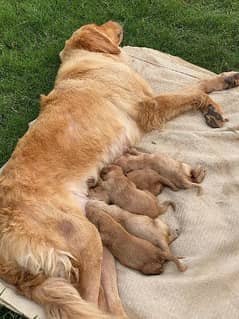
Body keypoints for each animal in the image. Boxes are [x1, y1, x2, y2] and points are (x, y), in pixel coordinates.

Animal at [0, 19, 238, 318]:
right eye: (98, 24)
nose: (117, 20)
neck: (86, 62)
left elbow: (198, 83)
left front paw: (227, 79)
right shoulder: (149, 105)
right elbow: (193, 92)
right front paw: (212, 107)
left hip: (103, 246)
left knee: (108, 304)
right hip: (88, 238)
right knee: (92, 304)